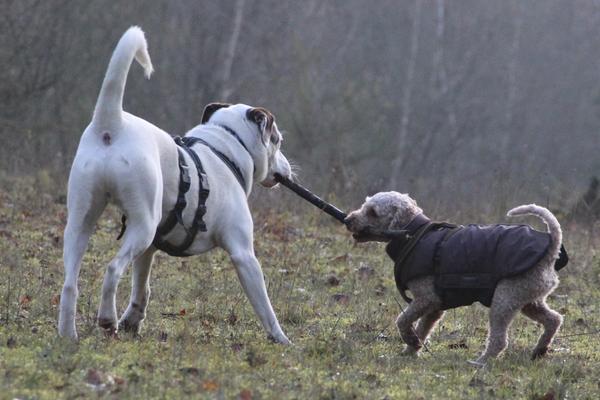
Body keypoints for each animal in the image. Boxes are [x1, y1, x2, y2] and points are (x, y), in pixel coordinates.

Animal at [58, 26, 290, 344]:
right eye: (277, 140)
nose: (287, 171)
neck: (225, 148)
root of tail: (111, 124)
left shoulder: (149, 249)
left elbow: (142, 289)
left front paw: (134, 321)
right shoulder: (244, 255)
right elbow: (265, 307)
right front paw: (282, 339)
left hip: (82, 223)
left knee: (70, 284)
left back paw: (68, 335)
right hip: (142, 225)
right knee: (112, 269)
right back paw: (107, 319)